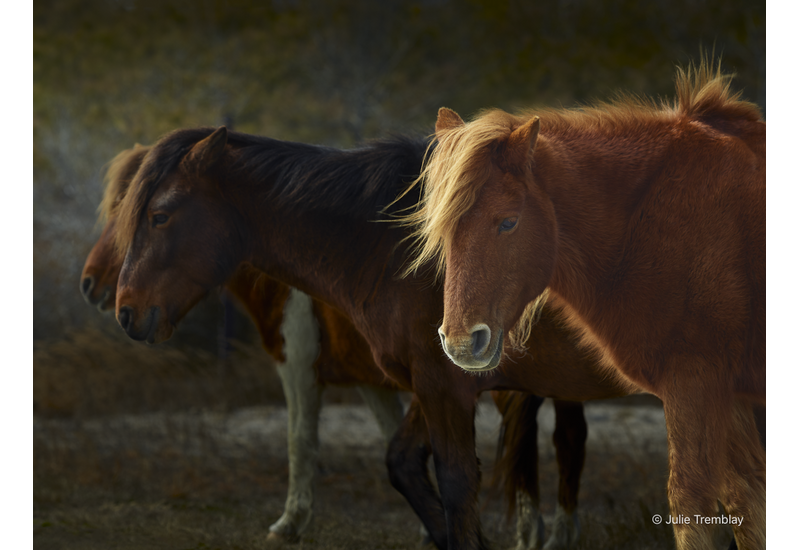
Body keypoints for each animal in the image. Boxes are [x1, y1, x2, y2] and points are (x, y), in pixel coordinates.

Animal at [110, 129, 634, 549]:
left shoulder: (444, 384)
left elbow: (456, 482)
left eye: (160, 215)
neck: (398, 250)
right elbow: (402, 462)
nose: (125, 310)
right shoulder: (429, 380)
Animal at [407, 63, 766, 550]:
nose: (463, 342)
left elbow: (693, 508)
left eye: (508, 222)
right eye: (442, 230)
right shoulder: (731, 395)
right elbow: (747, 504)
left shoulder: (696, 384)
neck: (651, 218)